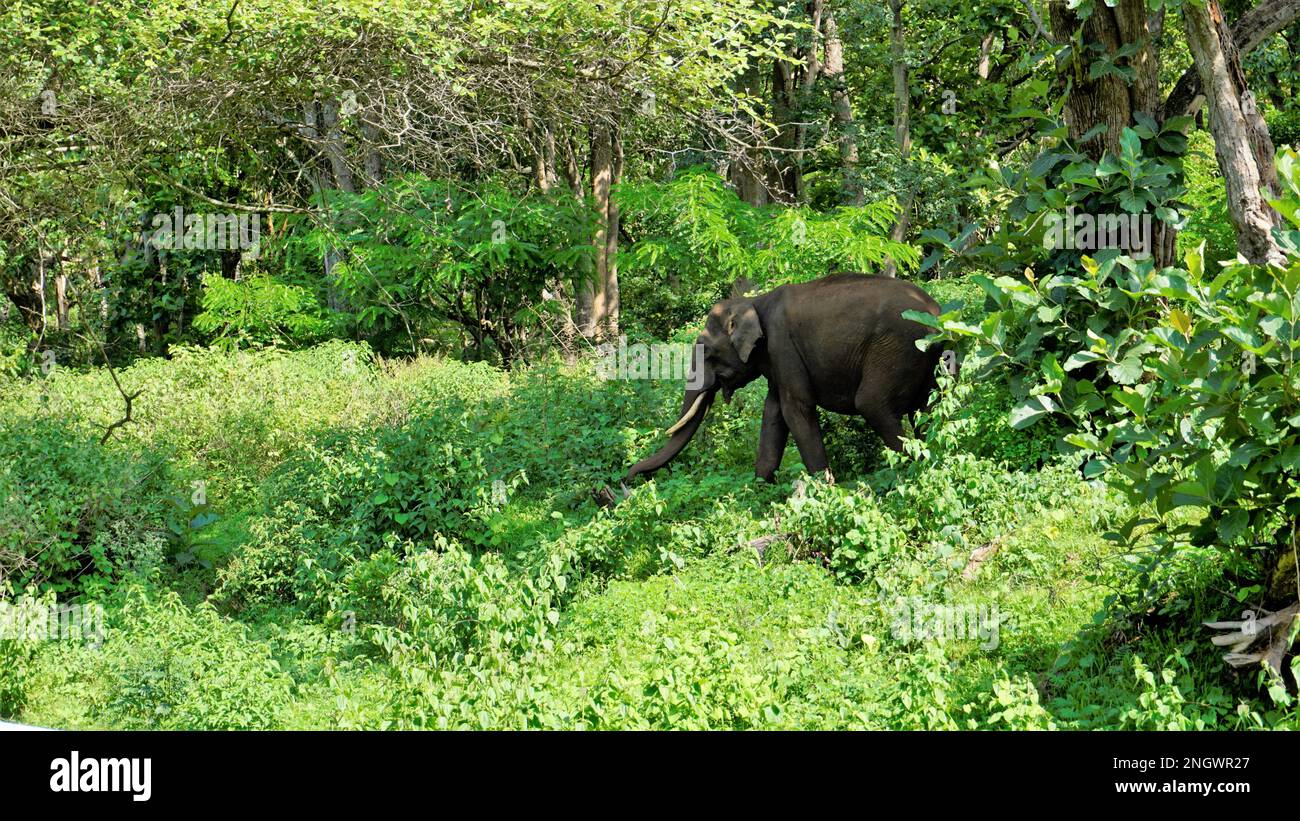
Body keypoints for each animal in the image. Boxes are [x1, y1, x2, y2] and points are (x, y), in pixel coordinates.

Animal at [621, 272, 946, 483]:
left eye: (708, 352)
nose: (629, 479)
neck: (754, 301)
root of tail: (937, 314)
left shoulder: (782, 346)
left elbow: (796, 409)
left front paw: (823, 489)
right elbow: (773, 412)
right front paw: (760, 487)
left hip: (897, 349)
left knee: (873, 404)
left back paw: (913, 472)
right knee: (928, 408)